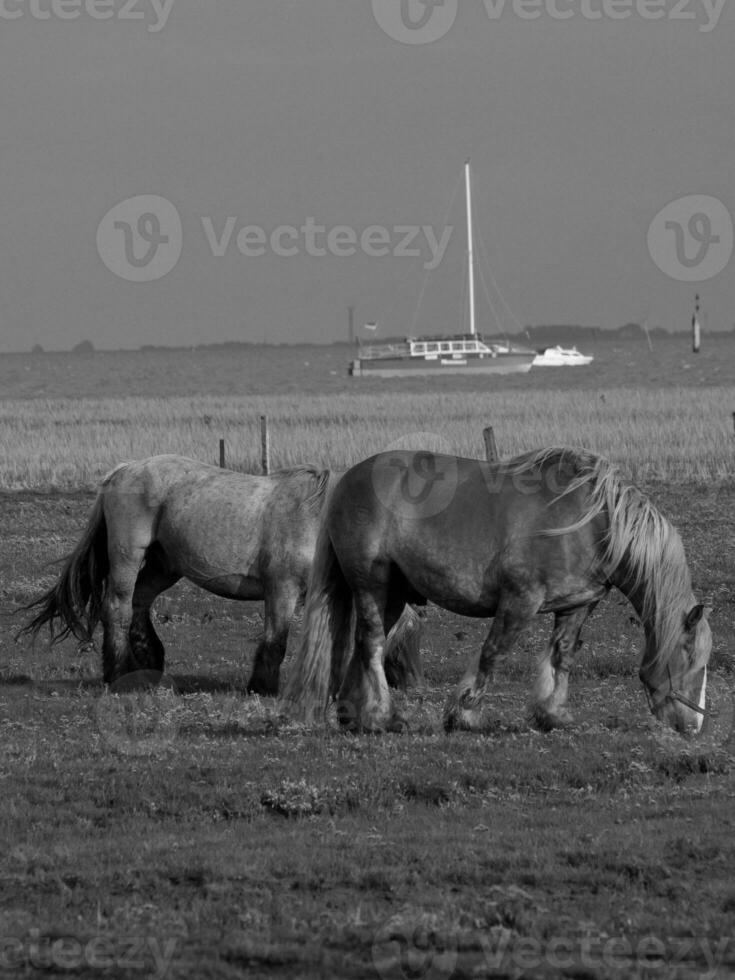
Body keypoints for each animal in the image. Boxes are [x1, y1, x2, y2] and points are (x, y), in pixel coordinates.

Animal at [20, 456, 422, 692]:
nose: (407, 679)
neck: (316, 518)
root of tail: (121, 471)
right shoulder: (282, 589)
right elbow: (275, 640)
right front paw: (262, 686)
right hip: (127, 558)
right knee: (117, 608)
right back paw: (119, 674)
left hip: (165, 566)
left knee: (139, 604)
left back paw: (149, 665)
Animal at [284, 448, 712, 732]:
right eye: (689, 655)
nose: (693, 724)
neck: (594, 521)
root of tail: (347, 481)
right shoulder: (520, 601)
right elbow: (493, 653)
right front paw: (464, 713)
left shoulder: (576, 605)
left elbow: (562, 656)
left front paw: (552, 714)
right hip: (372, 585)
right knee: (372, 643)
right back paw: (382, 716)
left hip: (394, 593)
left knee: (364, 646)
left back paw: (354, 714)